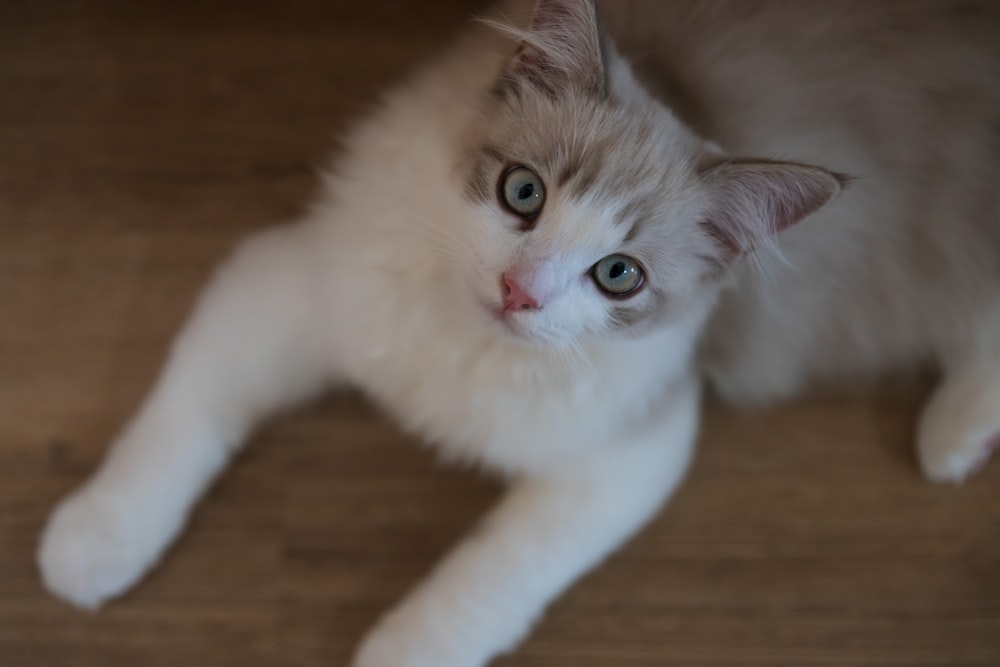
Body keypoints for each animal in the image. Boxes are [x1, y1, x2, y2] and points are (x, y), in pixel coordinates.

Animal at [37, 1, 1000, 667]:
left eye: (619, 274)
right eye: (523, 193)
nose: (520, 291)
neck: (464, 345)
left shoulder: (627, 457)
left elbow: (492, 572)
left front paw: (403, 648)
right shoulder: (287, 285)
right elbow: (176, 423)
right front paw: (93, 543)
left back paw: (950, 438)